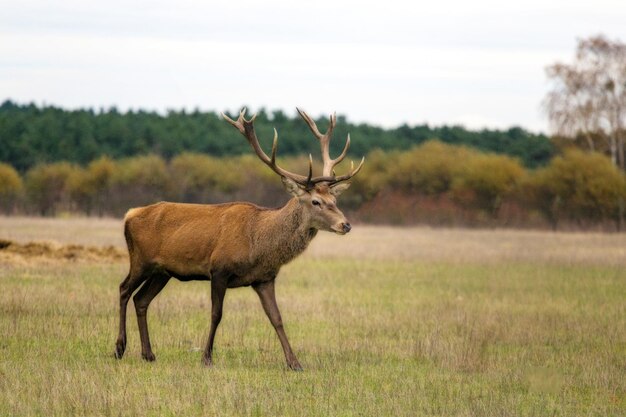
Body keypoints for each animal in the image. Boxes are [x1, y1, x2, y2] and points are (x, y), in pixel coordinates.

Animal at [114, 108, 364, 370]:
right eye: (316, 201)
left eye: (334, 200)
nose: (345, 224)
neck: (258, 244)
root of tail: (129, 214)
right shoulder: (218, 269)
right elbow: (216, 314)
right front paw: (207, 358)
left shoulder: (264, 278)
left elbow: (276, 317)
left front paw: (294, 362)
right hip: (140, 260)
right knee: (124, 289)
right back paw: (120, 347)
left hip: (163, 271)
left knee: (141, 300)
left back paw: (148, 354)